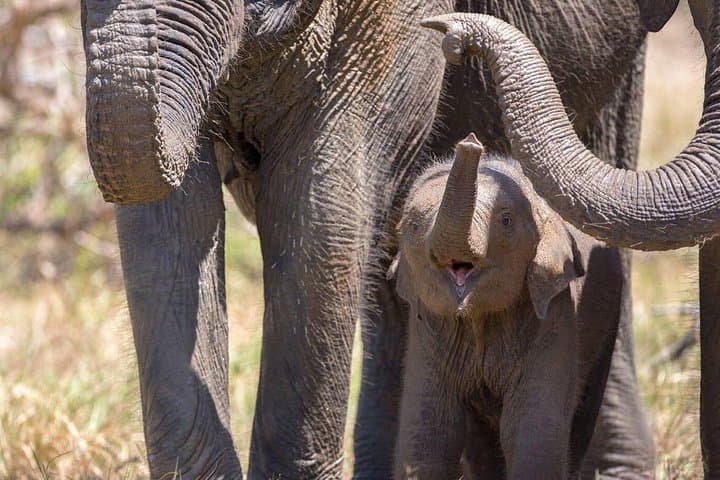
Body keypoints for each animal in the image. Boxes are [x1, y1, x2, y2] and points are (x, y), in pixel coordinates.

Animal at [391, 134, 626, 479]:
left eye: (505, 221)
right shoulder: (427, 325)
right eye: (413, 226)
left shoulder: (553, 310)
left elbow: (533, 426)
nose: (470, 142)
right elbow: (429, 432)